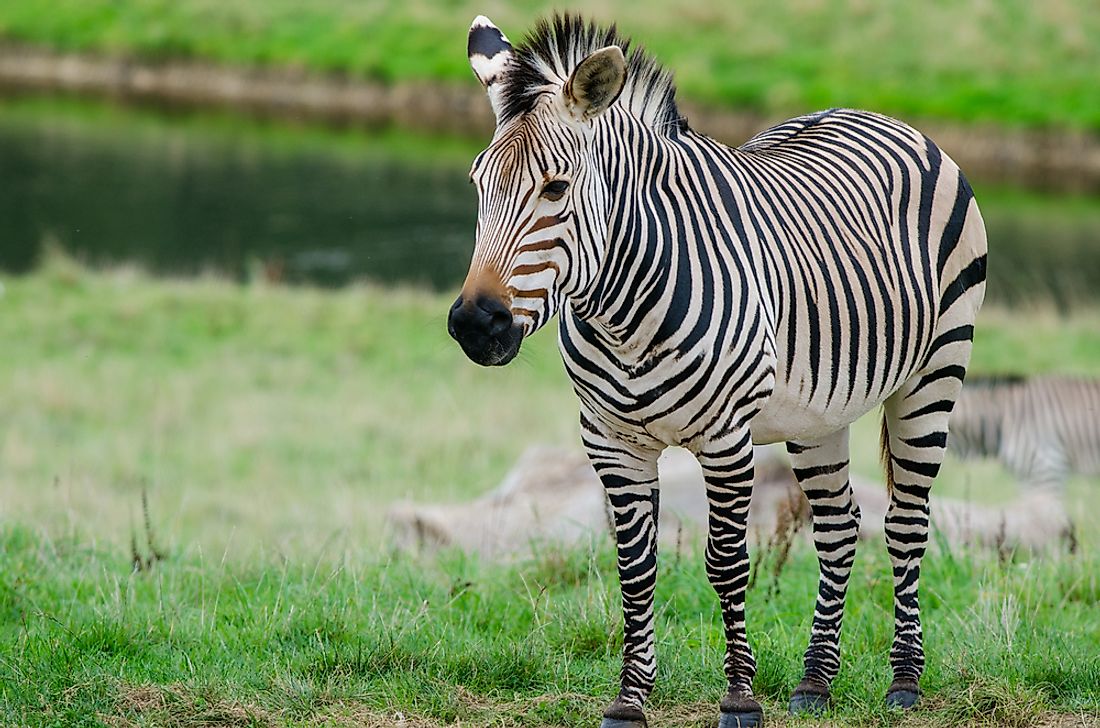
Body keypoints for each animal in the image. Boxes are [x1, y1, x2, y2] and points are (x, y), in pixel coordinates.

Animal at [446, 12, 990, 728]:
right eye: (477, 186)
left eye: (555, 189)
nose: (474, 325)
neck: (623, 312)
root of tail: (886, 117)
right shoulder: (611, 444)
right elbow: (636, 567)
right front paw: (630, 699)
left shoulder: (727, 440)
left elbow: (726, 562)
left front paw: (739, 698)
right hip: (819, 411)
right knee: (840, 526)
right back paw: (816, 683)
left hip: (935, 373)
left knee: (905, 523)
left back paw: (904, 681)